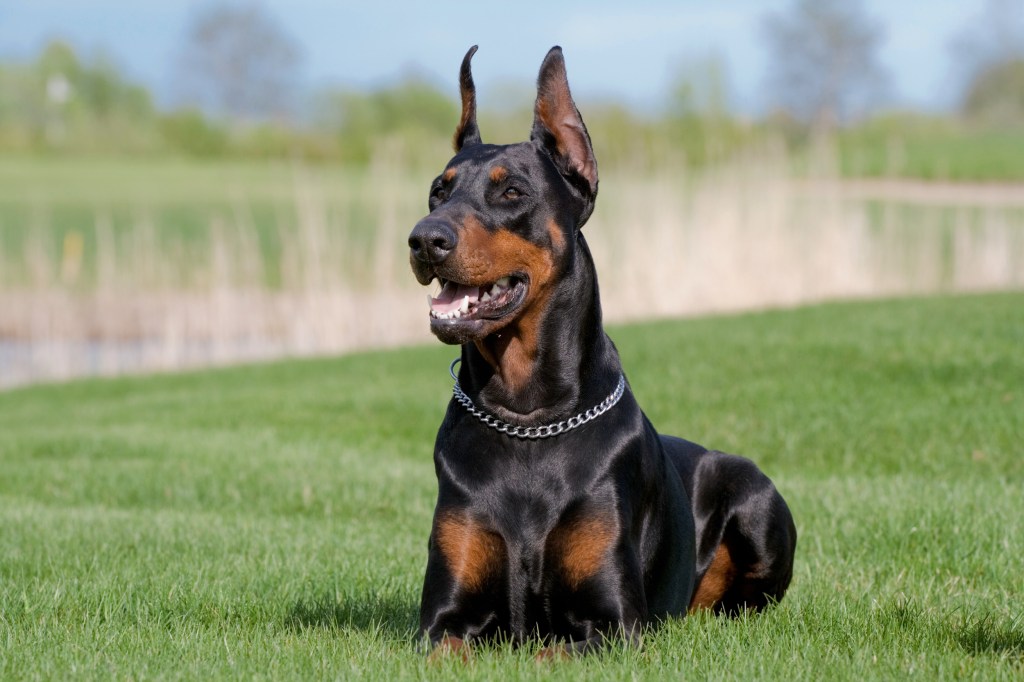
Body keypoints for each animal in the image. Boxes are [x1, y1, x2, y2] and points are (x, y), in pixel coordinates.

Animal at [403, 45, 794, 655]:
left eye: (511, 192)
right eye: (437, 191)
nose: (423, 239)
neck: (528, 417)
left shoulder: (614, 625)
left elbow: (548, 650)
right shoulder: (441, 625)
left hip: (757, 500)